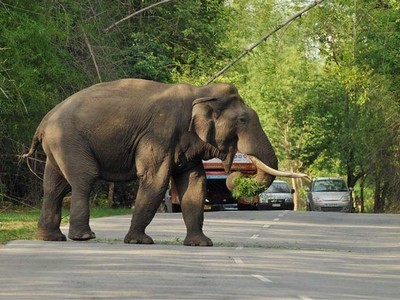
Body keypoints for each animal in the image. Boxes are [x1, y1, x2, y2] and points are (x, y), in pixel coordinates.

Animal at [23, 78, 306, 246]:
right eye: (243, 121)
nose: (236, 175)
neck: (200, 93)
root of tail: (43, 121)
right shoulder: (159, 133)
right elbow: (155, 180)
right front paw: (140, 241)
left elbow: (194, 184)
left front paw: (201, 244)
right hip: (70, 140)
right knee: (84, 179)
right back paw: (83, 237)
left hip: (59, 146)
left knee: (54, 186)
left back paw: (51, 238)